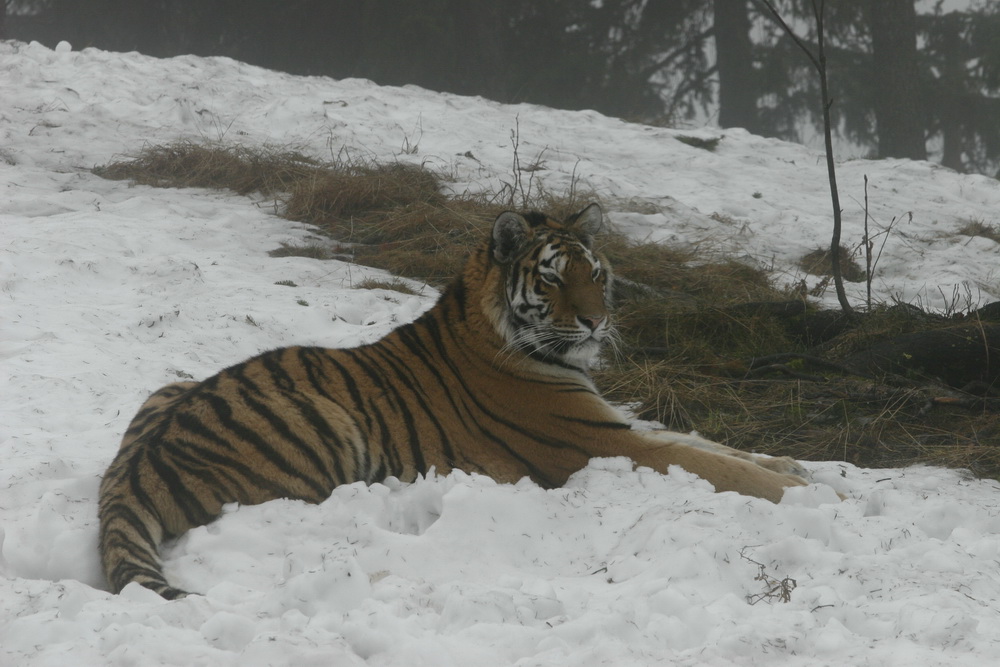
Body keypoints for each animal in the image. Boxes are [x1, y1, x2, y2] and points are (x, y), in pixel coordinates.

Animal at [97, 204, 808, 600]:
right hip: (327, 423)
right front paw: (805, 492)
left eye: (595, 272)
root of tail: (129, 470)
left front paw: (799, 471)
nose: (597, 322)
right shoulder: (598, 442)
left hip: (169, 383)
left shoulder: (618, 424)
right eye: (553, 277)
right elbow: (709, 463)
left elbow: (712, 446)